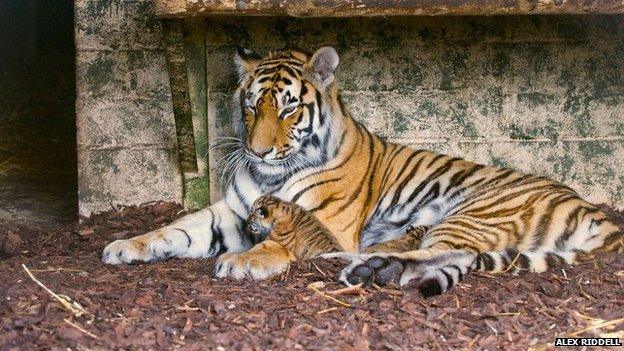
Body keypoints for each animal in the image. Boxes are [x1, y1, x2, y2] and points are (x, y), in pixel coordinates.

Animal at [103, 45, 624, 296]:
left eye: (289, 108)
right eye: (251, 106)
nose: (257, 151)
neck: (271, 176)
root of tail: (597, 213)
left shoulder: (320, 220)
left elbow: (281, 241)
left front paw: (244, 260)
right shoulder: (231, 213)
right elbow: (176, 228)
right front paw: (124, 246)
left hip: (472, 213)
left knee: (446, 256)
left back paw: (366, 266)